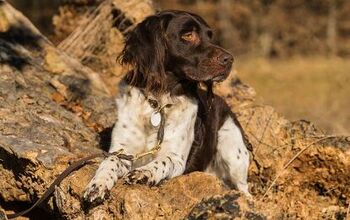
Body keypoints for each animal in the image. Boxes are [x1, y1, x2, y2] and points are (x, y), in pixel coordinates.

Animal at [83, 9, 250, 203]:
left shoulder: (177, 159)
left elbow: (163, 161)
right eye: (188, 35)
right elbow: (110, 161)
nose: (229, 59)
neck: (159, 102)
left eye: (210, 36)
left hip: (232, 148)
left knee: (244, 188)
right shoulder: (122, 150)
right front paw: (98, 185)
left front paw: (144, 172)